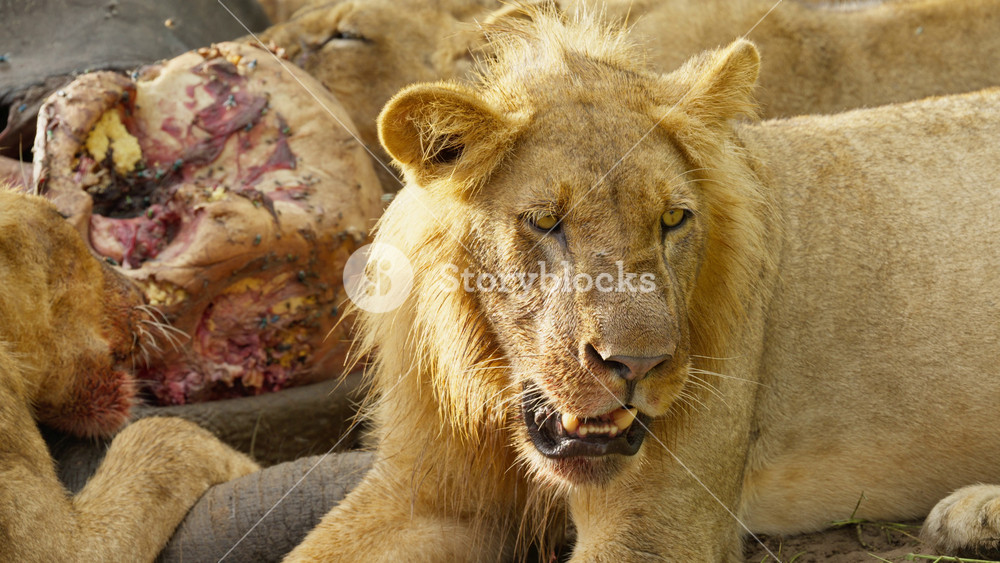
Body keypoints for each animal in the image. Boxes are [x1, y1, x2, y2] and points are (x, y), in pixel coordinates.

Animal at [283, 9, 1000, 562]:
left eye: (673, 219)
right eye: (546, 221)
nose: (638, 365)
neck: (492, 381)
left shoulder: (655, 527)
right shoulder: (422, 496)